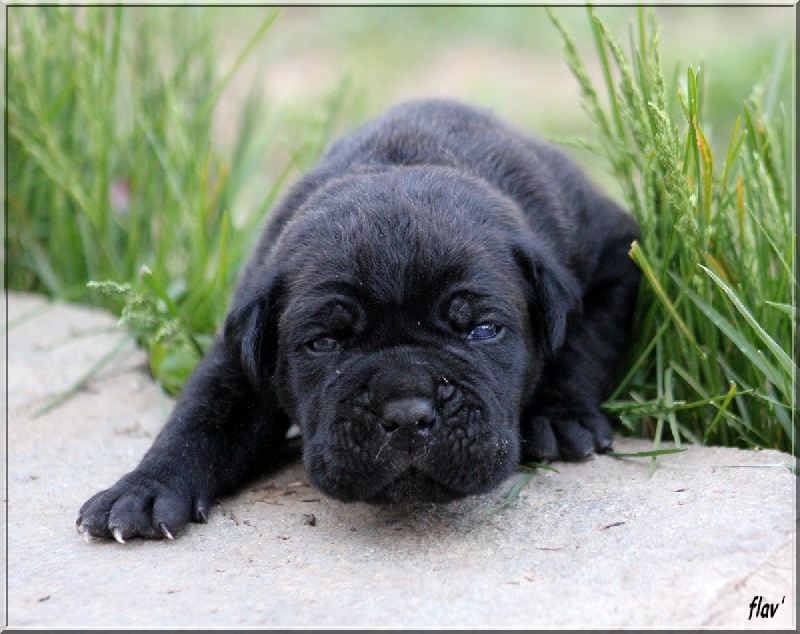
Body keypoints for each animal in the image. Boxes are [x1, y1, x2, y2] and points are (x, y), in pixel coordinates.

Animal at [76, 99, 636, 540]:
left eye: (482, 330)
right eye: (325, 343)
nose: (408, 413)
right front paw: (145, 488)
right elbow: (202, 413)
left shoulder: (615, 254)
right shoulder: (241, 352)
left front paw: (559, 415)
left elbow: (586, 339)